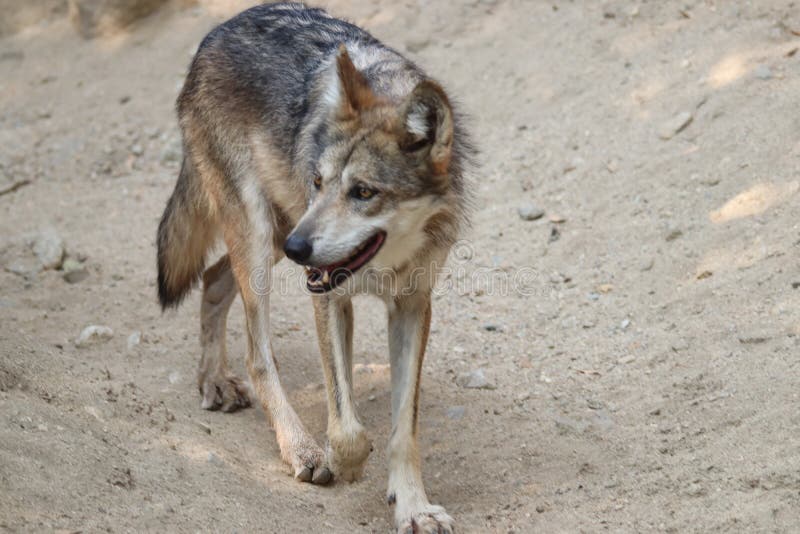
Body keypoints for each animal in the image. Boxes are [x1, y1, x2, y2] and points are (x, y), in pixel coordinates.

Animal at [156, 3, 473, 532]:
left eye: (363, 192)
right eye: (320, 181)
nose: (300, 248)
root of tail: (218, 30)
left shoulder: (411, 306)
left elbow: (403, 429)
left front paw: (412, 505)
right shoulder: (328, 295)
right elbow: (346, 424)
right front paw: (343, 460)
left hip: (272, 234)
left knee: (213, 279)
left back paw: (214, 380)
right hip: (262, 234)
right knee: (258, 355)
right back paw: (299, 447)